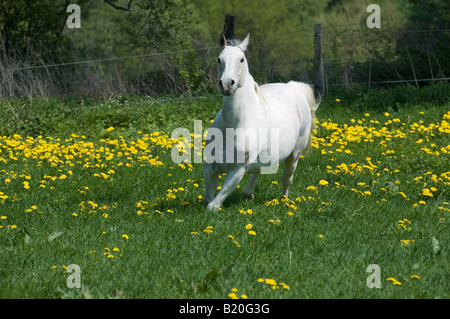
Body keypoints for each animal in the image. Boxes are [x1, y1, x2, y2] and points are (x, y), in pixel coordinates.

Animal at [203, 33, 316, 211]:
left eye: (241, 59)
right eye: (219, 59)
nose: (227, 84)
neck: (231, 128)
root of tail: (293, 87)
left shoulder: (237, 171)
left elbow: (213, 205)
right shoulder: (209, 167)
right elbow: (207, 197)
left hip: (294, 154)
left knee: (287, 178)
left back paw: (284, 201)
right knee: (258, 170)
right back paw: (248, 193)